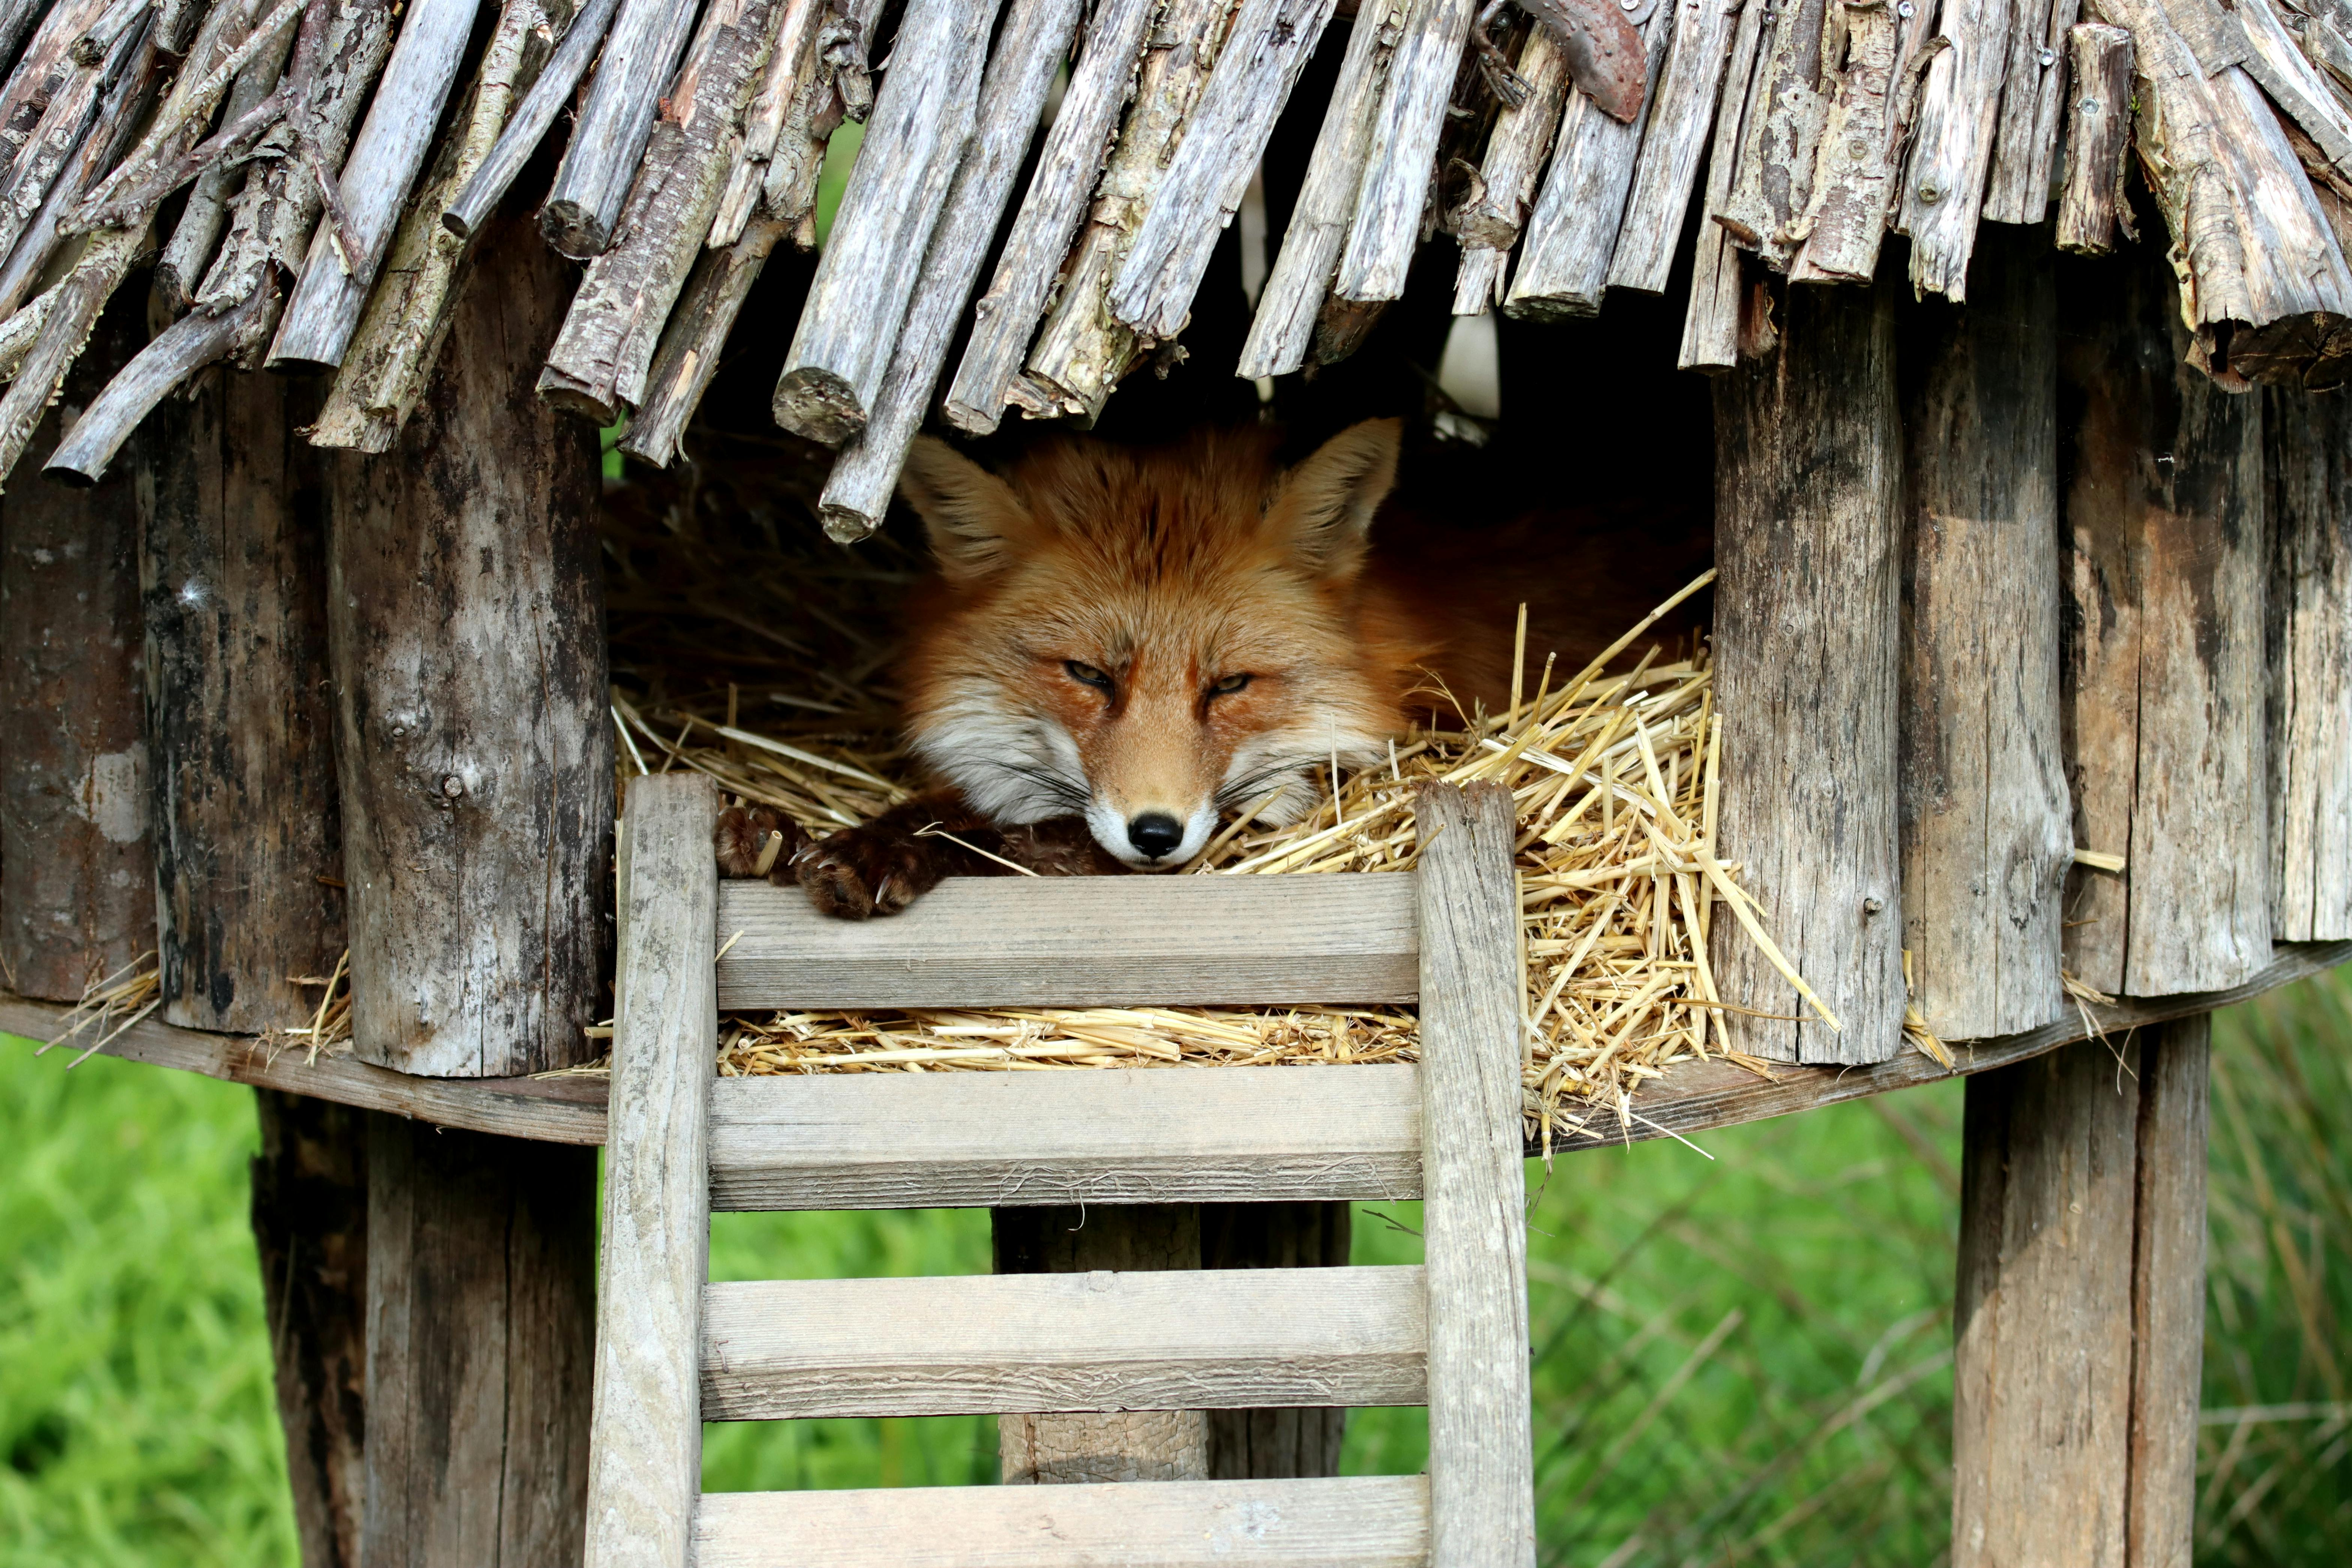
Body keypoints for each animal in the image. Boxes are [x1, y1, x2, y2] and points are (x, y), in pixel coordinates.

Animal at [715, 418, 1709, 917]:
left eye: (1230, 684)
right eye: (1089, 675)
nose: (1155, 833)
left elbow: (1016, 837)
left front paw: (880, 847)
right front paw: (775, 830)